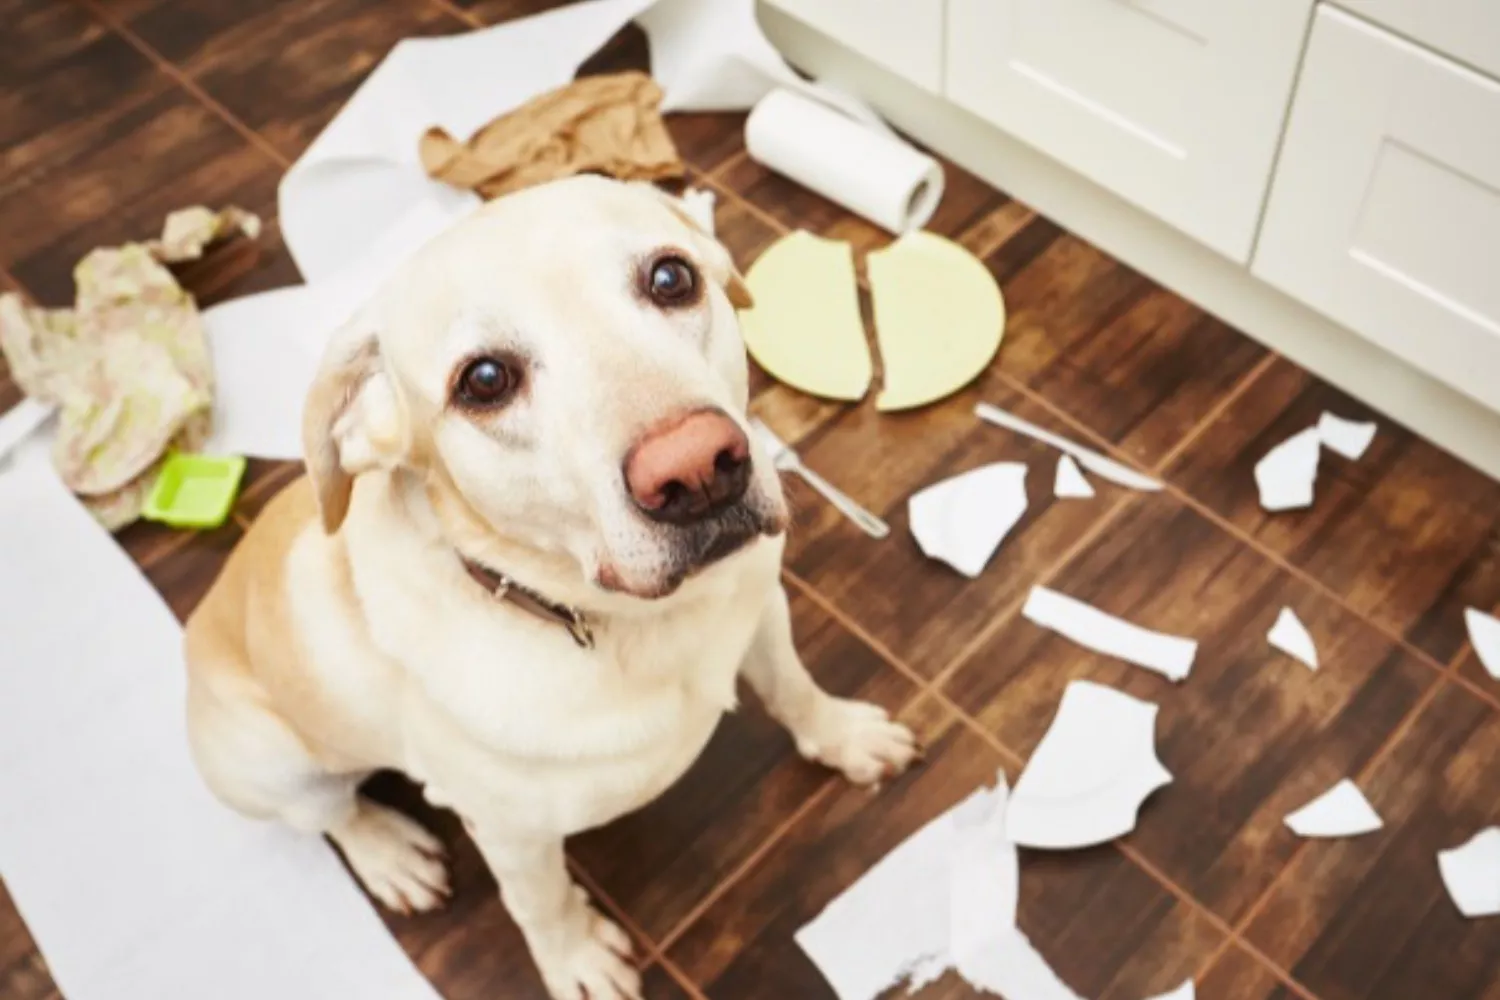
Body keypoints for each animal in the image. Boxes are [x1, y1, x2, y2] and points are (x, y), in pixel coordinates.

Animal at [183, 177, 918, 1000]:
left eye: (672, 278)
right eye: (485, 381)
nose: (696, 469)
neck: (631, 622)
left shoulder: (761, 613)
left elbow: (794, 689)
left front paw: (845, 738)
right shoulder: (512, 834)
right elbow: (541, 902)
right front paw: (576, 962)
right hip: (274, 764)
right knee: (331, 817)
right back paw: (390, 854)